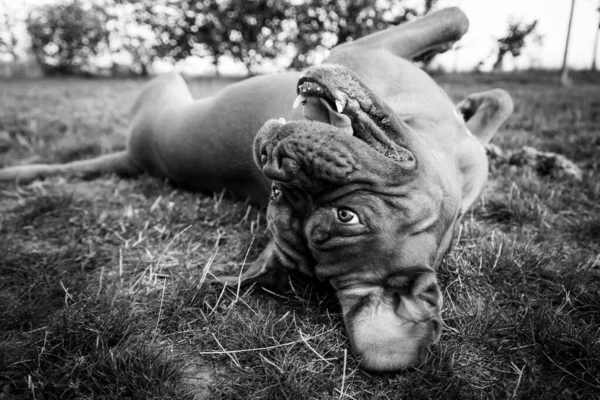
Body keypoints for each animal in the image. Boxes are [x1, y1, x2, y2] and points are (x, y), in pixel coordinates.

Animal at [0, 7, 512, 372]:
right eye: (280, 197)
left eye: (347, 216)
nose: (276, 166)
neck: (444, 150)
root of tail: (135, 156)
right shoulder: (366, 48)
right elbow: (462, 23)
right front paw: (474, 104)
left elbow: (496, 91)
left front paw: (476, 107)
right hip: (168, 80)